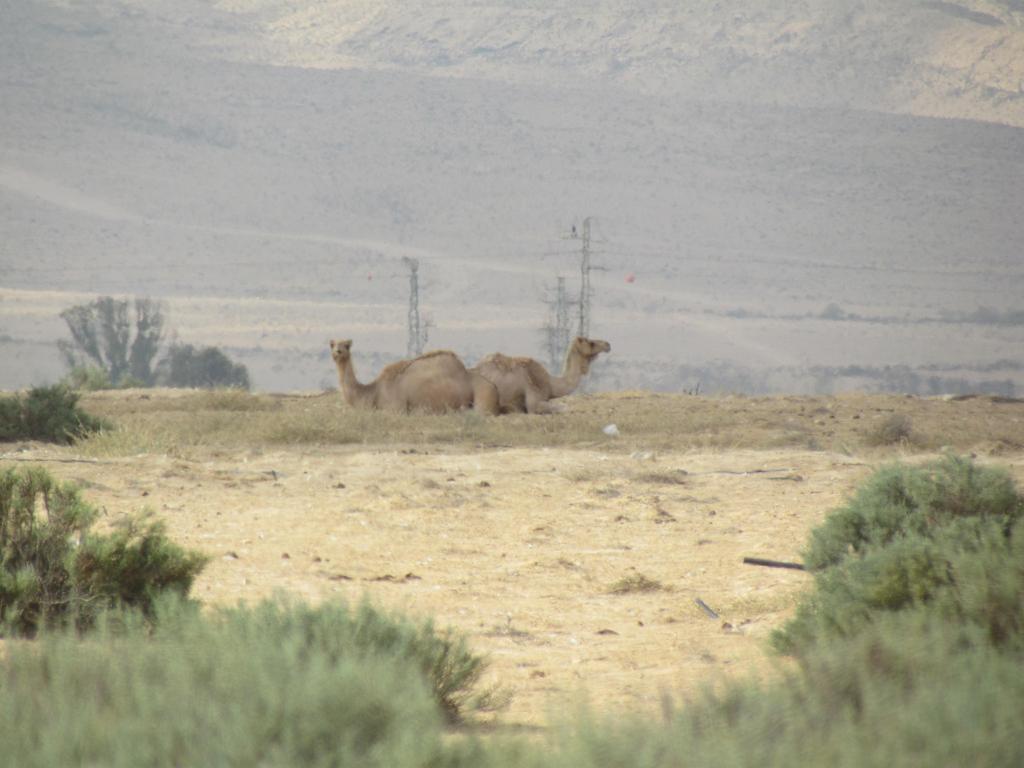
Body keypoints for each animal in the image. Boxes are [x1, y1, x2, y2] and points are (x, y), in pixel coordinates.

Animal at [329, 339, 497, 415]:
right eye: (332, 344)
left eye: (347, 345)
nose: (338, 351)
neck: (374, 391)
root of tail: (494, 386)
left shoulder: (395, 409)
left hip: (483, 396)